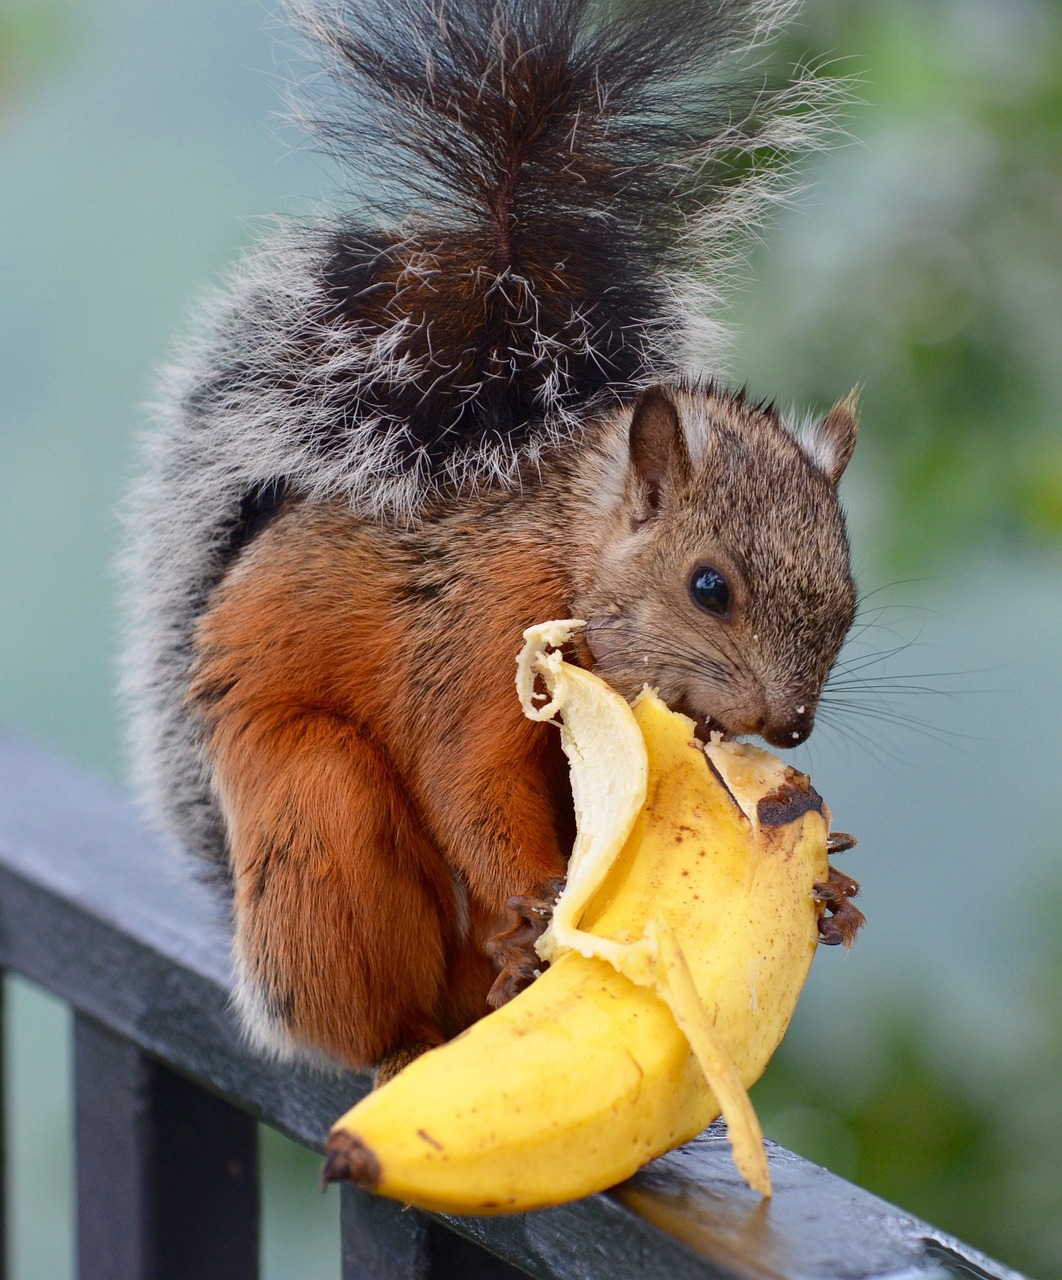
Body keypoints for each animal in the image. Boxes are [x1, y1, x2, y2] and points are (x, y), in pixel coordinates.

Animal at [120, 0, 859, 1075]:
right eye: (709, 587)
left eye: (851, 600)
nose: (791, 725)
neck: (567, 552)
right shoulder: (476, 629)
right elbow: (468, 777)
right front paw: (540, 901)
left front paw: (832, 886)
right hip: (315, 814)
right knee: (364, 995)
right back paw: (409, 1037)